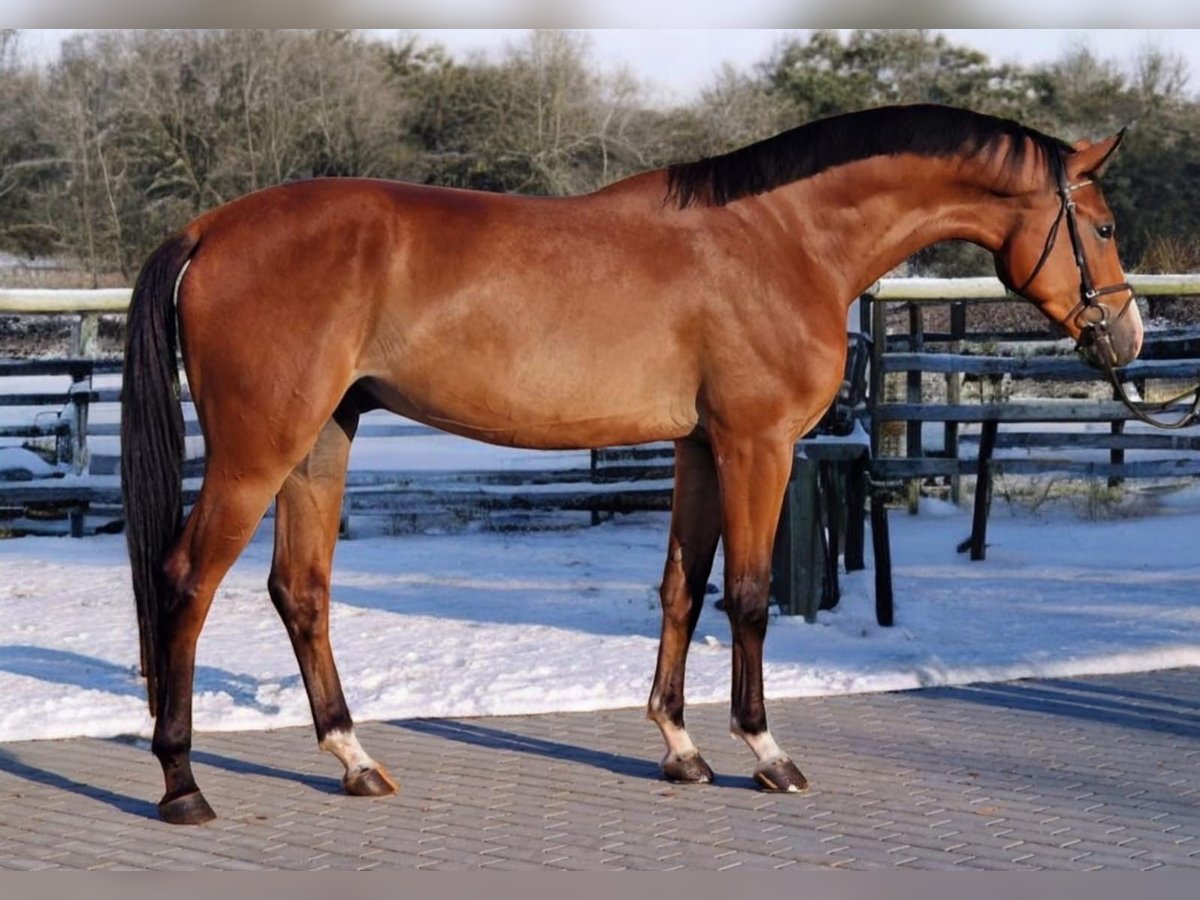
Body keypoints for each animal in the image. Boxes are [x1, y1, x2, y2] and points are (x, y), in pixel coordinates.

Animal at [121, 103, 1142, 825]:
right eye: (1098, 226)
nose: (1126, 338)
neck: (782, 240)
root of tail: (210, 229)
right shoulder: (756, 444)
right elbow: (750, 595)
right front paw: (766, 754)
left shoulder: (699, 448)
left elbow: (683, 589)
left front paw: (680, 748)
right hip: (260, 450)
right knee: (184, 581)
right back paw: (182, 784)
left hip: (321, 439)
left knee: (300, 590)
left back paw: (355, 762)